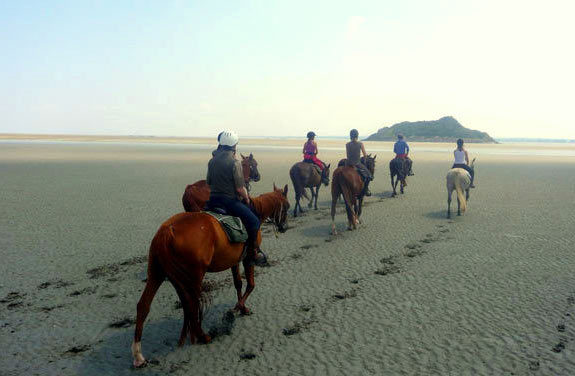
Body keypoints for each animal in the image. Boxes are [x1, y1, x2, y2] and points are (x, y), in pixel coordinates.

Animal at [132, 184, 290, 368]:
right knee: (192, 305)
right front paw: (235, 310)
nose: (284, 227)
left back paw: (139, 356)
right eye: (287, 206)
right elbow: (250, 284)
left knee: (145, 306)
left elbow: (238, 283)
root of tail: (167, 230)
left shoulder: (234, 260)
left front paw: (242, 308)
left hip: (157, 274)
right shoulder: (248, 259)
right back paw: (203, 336)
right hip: (194, 276)